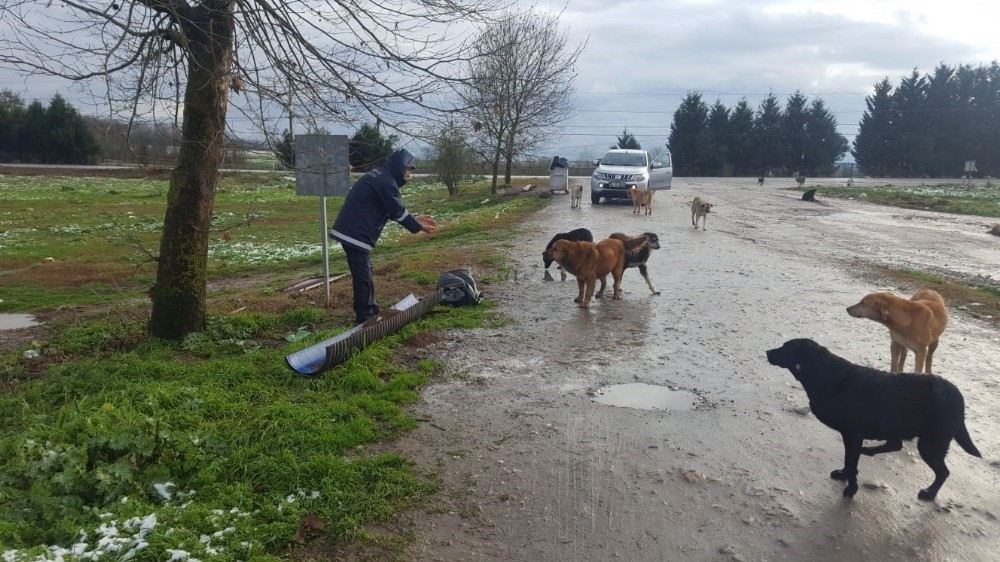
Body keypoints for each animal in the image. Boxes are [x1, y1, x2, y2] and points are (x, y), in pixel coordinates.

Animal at [768, 336, 980, 498]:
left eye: (786, 347)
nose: (767, 352)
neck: (825, 374)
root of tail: (958, 395)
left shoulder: (853, 434)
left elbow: (851, 461)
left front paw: (851, 488)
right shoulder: (850, 435)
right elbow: (849, 459)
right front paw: (844, 474)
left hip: (931, 443)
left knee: (942, 471)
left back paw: (930, 493)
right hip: (897, 426)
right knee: (895, 444)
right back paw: (869, 451)